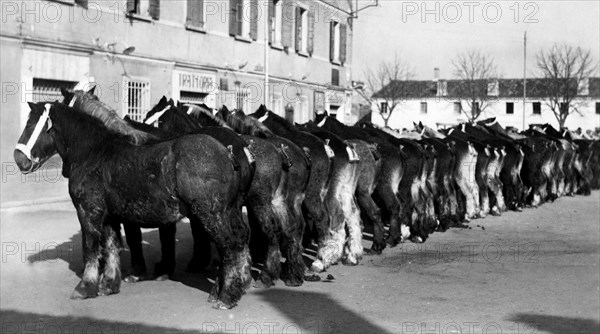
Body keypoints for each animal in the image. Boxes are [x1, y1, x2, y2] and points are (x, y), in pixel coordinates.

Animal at [12, 102, 251, 310]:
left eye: (31, 125)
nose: (18, 159)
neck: (93, 154)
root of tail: (228, 153)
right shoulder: (109, 216)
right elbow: (111, 247)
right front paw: (109, 284)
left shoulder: (88, 212)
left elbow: (90, 247)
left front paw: (85, 287)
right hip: (229, 212)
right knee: (239, 241)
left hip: (211, 215)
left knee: (229, 246)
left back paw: (226, 297)